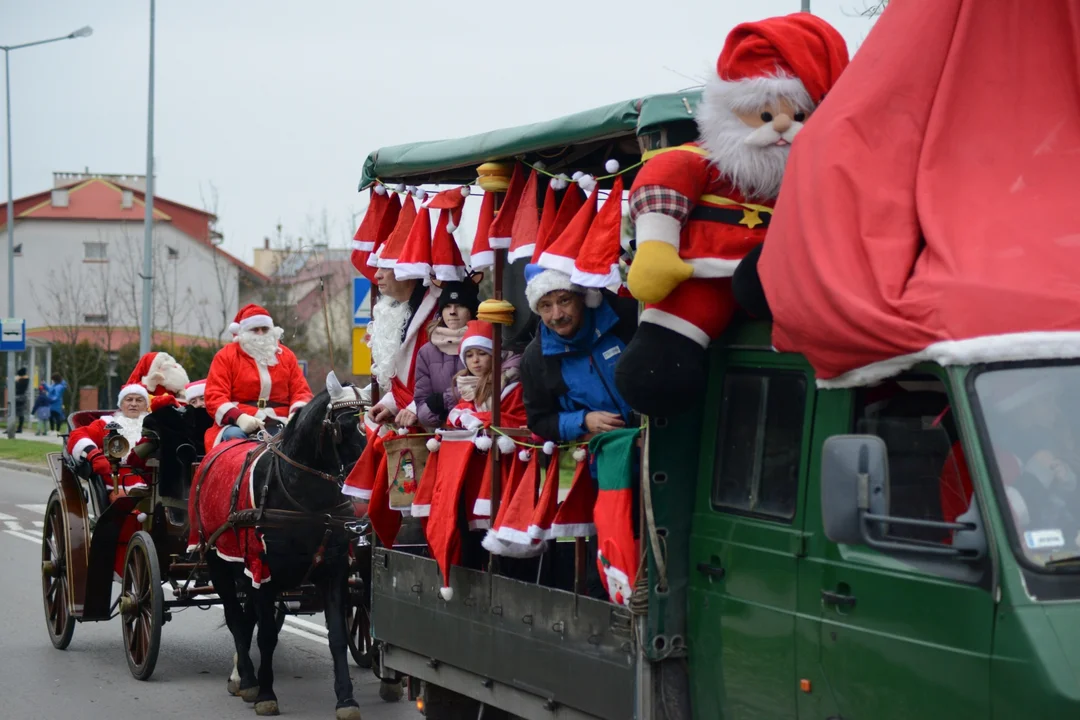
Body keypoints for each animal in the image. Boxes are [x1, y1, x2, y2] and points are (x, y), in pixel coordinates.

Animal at [199, 375, 371, 716]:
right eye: (344, 426)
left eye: (373, 425)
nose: (366, 483)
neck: (304, 499)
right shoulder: (262, 572)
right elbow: (265, 637)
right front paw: (266, 694)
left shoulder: (333, 571)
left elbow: (337, 637)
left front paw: (346, 698)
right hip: (219, 564)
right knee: (235, 617)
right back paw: (246, 678)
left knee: (245, 619)